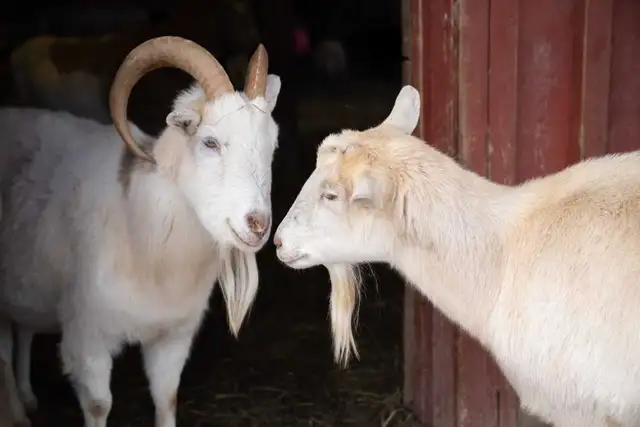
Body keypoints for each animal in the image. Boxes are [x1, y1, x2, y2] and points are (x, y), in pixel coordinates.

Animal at [0, 36, 281, 427]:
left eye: (272, 145)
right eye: (210, 142)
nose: (257, 224)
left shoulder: (172, 337)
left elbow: (166, 398)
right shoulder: (88, 335)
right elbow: (98, 405)